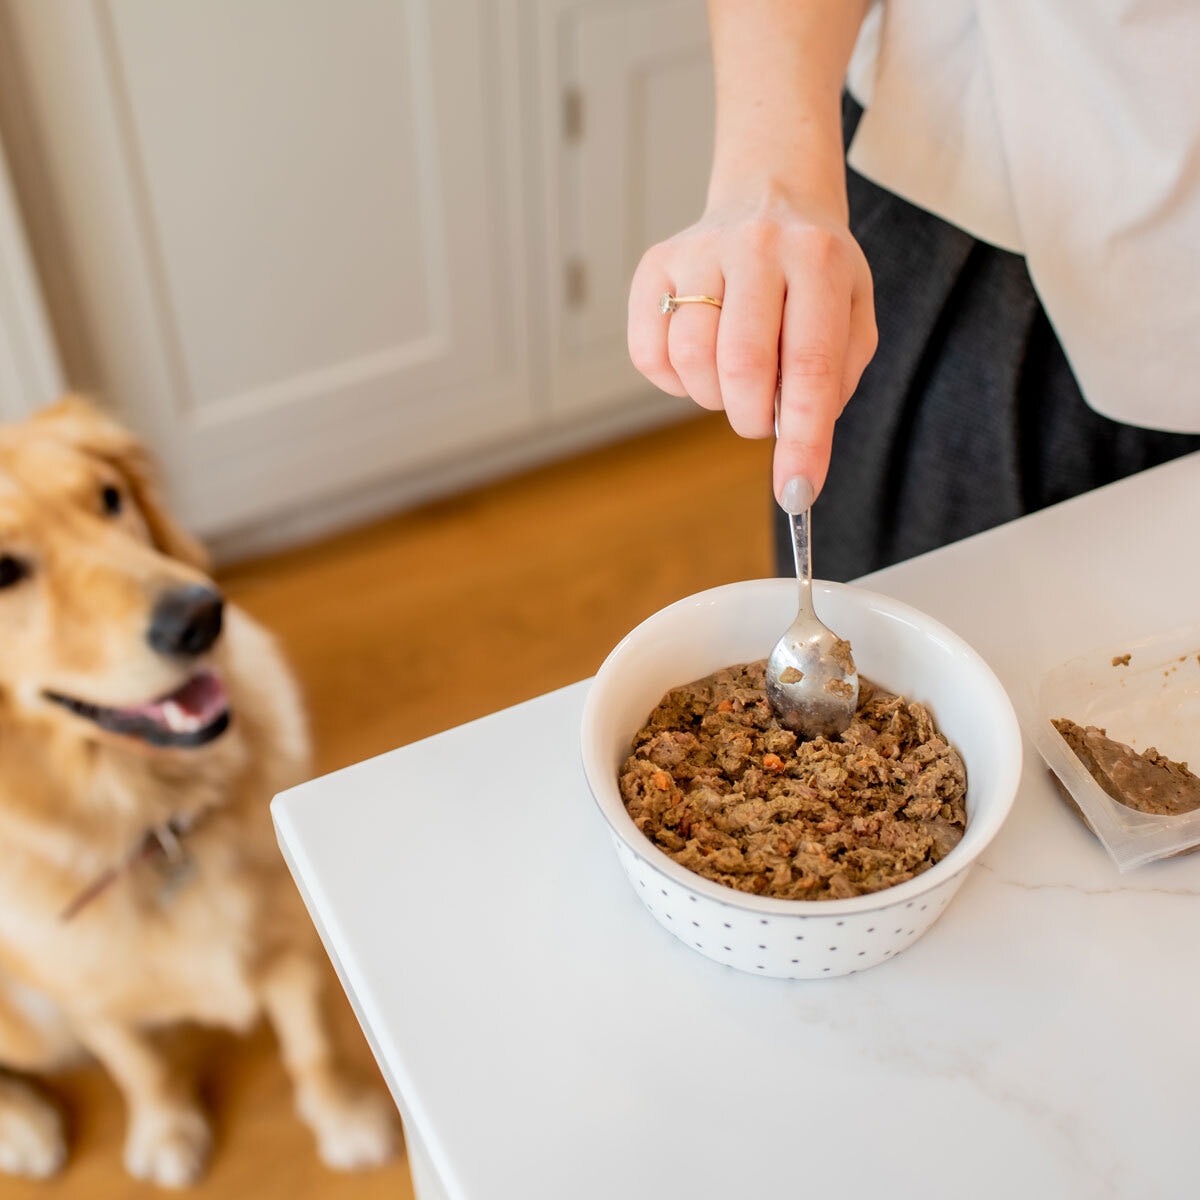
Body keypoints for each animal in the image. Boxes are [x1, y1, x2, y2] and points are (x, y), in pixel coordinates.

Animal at [0, 398, 398, 1185]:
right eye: (2, 570)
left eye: (109, 498)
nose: (199, 616)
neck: (153, 816)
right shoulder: (84, 991)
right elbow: (139, 1065)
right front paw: (166, 1132)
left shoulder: (288, 930)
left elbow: (311, 1045)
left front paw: (344, 1117)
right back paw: (21, 1128)